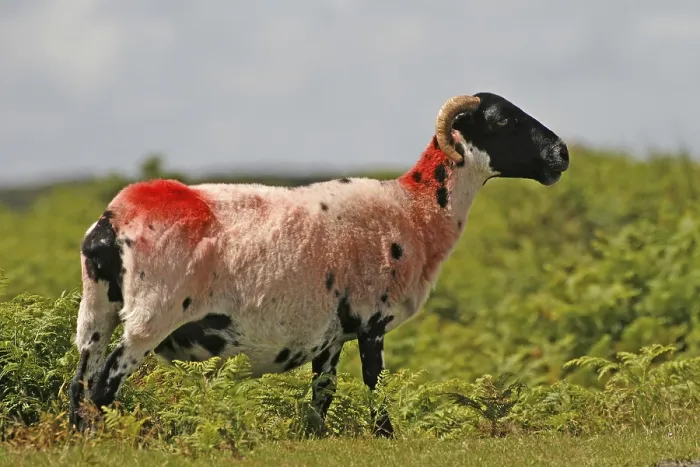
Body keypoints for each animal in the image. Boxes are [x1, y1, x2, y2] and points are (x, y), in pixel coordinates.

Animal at [69, 92, 570, 437]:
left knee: (80, 382)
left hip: (97, 312)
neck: (414, 208)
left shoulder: (330, 334)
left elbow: (322, 394)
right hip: (152, 314)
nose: (562, 153)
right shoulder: (371, 320)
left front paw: (313, 435)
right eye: (503, 119)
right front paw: (386, 436)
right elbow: (374, 382)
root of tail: (110, 224)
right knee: (104, 385)